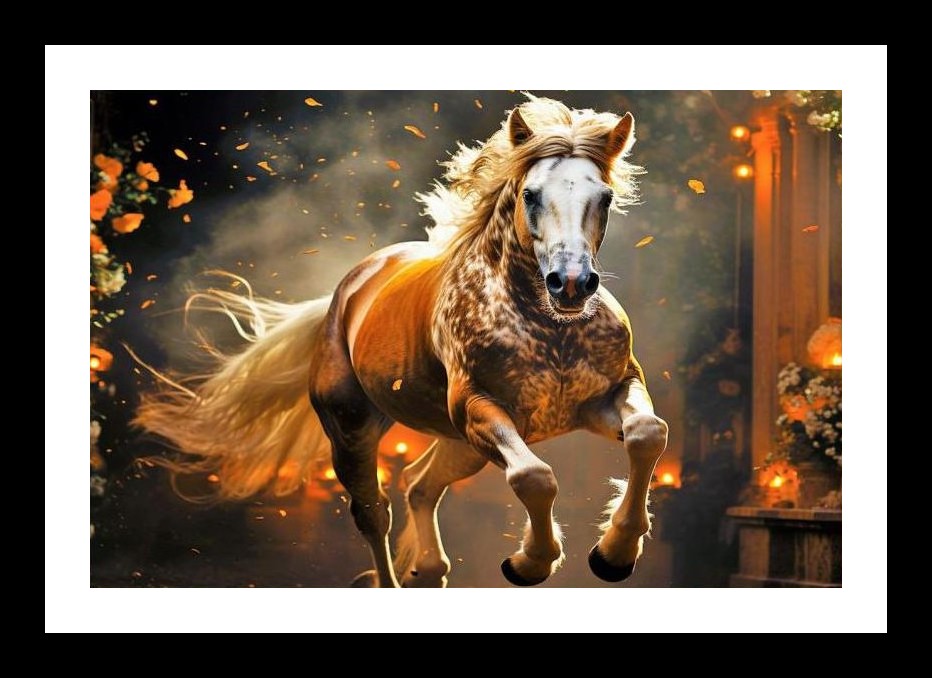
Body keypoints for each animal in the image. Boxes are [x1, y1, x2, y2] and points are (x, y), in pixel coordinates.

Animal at [135, 97, 669, 587]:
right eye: (531, 195)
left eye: (604, 198)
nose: (572, 284)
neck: (549, 331)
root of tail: (345, 295)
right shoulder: (480, 410)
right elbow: (534, 478)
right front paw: (531, 563)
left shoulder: (603, 396)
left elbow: (648, 433)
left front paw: (614, 554)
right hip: (354, 429)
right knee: (374, 512)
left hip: (461, 446)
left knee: (418, 485)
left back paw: (429, 570)